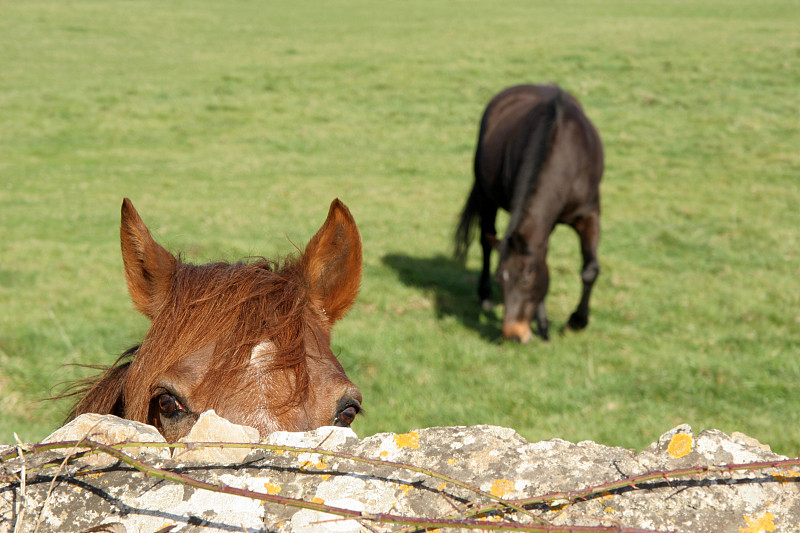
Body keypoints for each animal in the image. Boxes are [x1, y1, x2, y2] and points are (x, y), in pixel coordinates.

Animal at [454, 83, 604, 340]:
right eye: (500, 279)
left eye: (527, 279)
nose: (513, 333)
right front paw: (543, 325)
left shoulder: (589, 213)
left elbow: (590, 269)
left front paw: (577, 321)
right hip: (486, 195)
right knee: (486, 241)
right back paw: (485, 296)